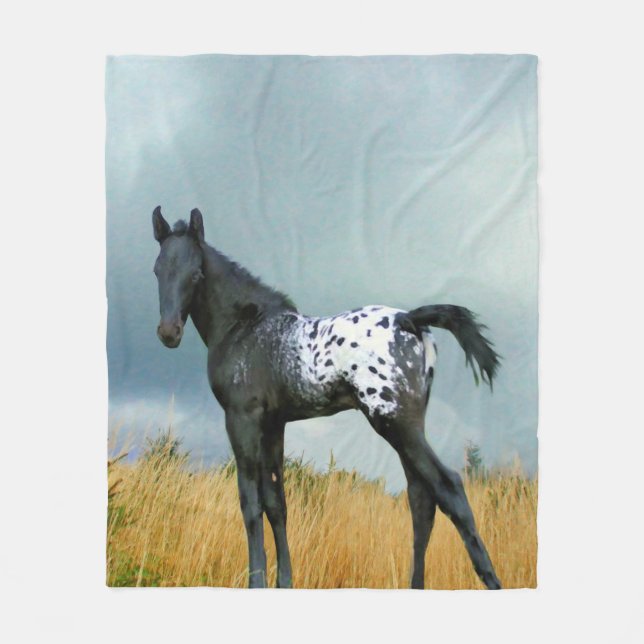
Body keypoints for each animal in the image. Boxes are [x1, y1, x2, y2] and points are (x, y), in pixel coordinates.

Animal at [151, 206, 502, 589]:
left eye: (196, 274)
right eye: (157, 269)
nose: (168, 332)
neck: (244, 328)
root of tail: (409, 320)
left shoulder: (242, 419)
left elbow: (250, 503)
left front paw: (257, 581)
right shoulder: (273, 425)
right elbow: (277, 503)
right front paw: (284, 582)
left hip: (395, 423)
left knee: (448, 487)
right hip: (407, 426)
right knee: (421, 499)